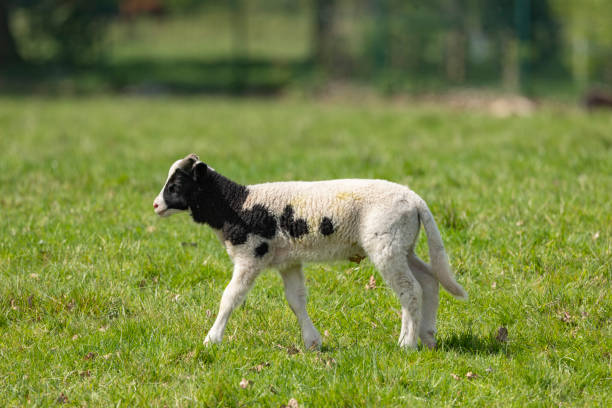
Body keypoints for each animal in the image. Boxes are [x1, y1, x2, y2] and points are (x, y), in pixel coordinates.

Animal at [154, 154, 468, 350]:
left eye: (176, 185)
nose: (156, 205)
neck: (236, 204)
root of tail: (415, 200)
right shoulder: (288, 261)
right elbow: (296, 301)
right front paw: (313, 342)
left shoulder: (250, 255)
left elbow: (230, 298)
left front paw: (211, 340)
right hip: (403, 246)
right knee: (429, 281)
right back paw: (428, 337)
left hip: (386, 247)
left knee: (410, 290)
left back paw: (407, 344)